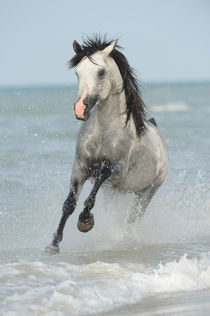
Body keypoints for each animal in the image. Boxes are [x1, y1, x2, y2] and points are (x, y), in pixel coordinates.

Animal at [44, 35, 167, 256]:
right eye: (77, 72)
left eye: (101, 72)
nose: (80, 109)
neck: (104, 131)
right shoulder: (80, 167)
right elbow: (69, 204)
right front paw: (53, 245)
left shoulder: (116, 170)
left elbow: (98, 182)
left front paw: (85, 221)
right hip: (114, 193)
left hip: (147, 191)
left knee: (133, 218)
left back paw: (126, 239)